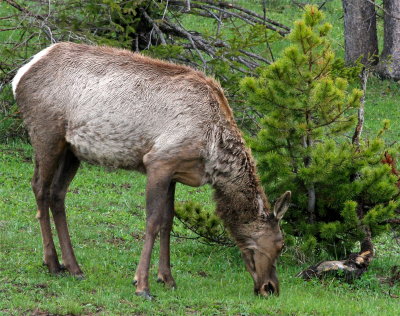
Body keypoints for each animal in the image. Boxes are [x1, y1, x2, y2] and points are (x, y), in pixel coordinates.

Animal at [12, 42, 290, 298]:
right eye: (280, 244)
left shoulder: (175, 172)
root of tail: (19, 76)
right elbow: (152, 222)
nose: (271, 288)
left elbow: (168, 222)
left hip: (71, 150)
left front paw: (167, 278)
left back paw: (74, 267)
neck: (213, 154)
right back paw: (52, 263)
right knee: (40, 188)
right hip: (46, 133)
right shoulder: (158, 161)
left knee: (57, 194)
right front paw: (141, 285)